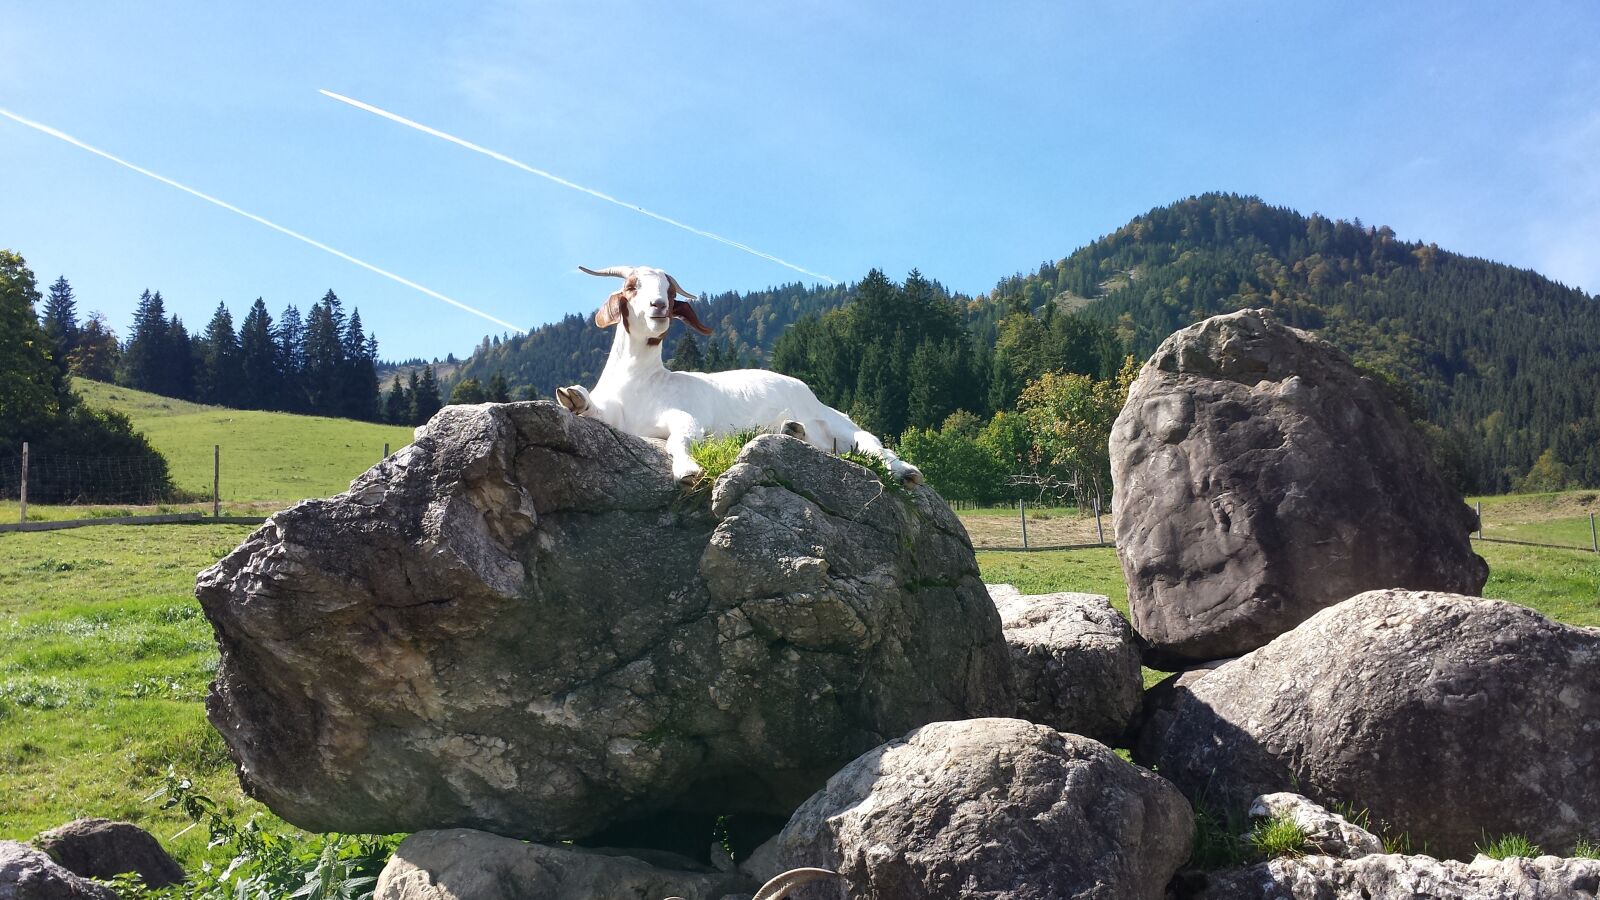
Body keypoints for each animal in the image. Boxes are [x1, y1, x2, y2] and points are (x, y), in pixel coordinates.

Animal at [555, 265, 923, 487]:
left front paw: (687, 471)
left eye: (670, 294)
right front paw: (573, 397)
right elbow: (593, 410)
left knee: (871, 443)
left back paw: (907, 472)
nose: (658, 307)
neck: (642, 381)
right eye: (632, 287)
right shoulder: (619, 416)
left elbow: (679, 439)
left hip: (834, 419)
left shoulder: (687, 417)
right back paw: (792, 429)